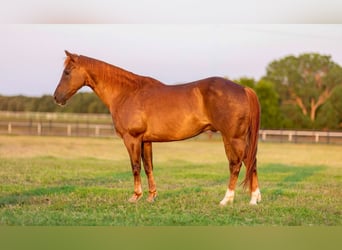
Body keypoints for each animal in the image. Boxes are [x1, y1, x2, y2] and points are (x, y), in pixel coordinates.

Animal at [54, 50, 262, 205]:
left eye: (67, 72)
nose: (56, 97)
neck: (127, 93)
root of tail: (243, 89)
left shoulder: (132, 139)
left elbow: (135, 166)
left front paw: (135, 196)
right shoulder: (146, 141)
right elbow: (148, 167)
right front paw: (151, 196)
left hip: (233, 138)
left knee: (237, 164)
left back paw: (228, 200)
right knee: (249, 161)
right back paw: (254, 199)